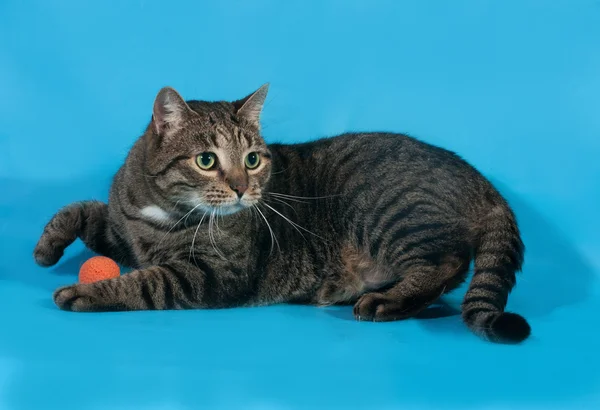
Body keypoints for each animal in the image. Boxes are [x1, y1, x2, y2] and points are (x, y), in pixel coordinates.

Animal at [32, 85, 528, 344]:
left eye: (253, 159)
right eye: (206, 160)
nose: (242, 188)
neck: (162, 209)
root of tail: (484, 183)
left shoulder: (212, 274)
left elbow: (144, 282)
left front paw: (84, 292)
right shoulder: (122, 232)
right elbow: (82, 209)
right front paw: (46, 247)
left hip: (387, 210)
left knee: (448, 263)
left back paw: (386, 301)